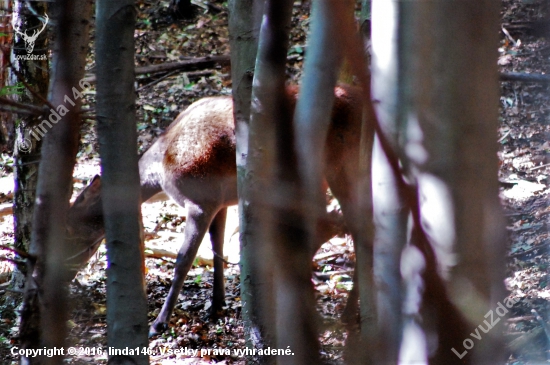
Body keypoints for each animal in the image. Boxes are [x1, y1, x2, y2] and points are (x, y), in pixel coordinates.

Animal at [66, 83, 366, 336]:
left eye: (72, 226)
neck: (160, 173)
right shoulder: (220, 202)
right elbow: (217, 247)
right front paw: (217, 304)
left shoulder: (200, 200)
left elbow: (183, 260)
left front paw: (158, 324)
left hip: (336, 166)